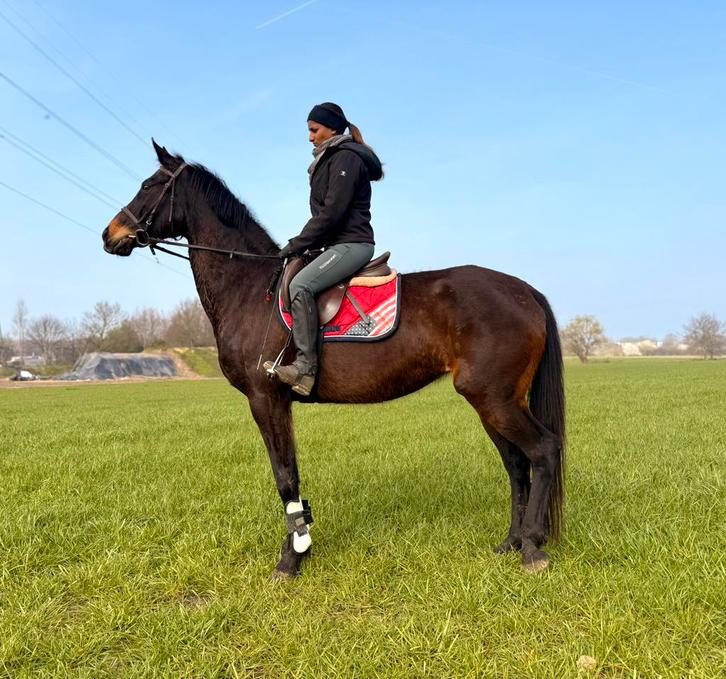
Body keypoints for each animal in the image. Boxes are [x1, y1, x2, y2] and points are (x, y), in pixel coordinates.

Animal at [102, 141, 566, 579]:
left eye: (149, 185)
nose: (110, 234)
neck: (251, 289)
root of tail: (524, 291)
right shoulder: (279, 403)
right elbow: (290, 475)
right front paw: (300, 548)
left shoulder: (265, 399)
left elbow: (285, 477)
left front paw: (291, 559)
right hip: (493, 401)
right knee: (516, 464)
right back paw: (510, 542)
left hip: (495, 399)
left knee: (542, 450)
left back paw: (531, 546)